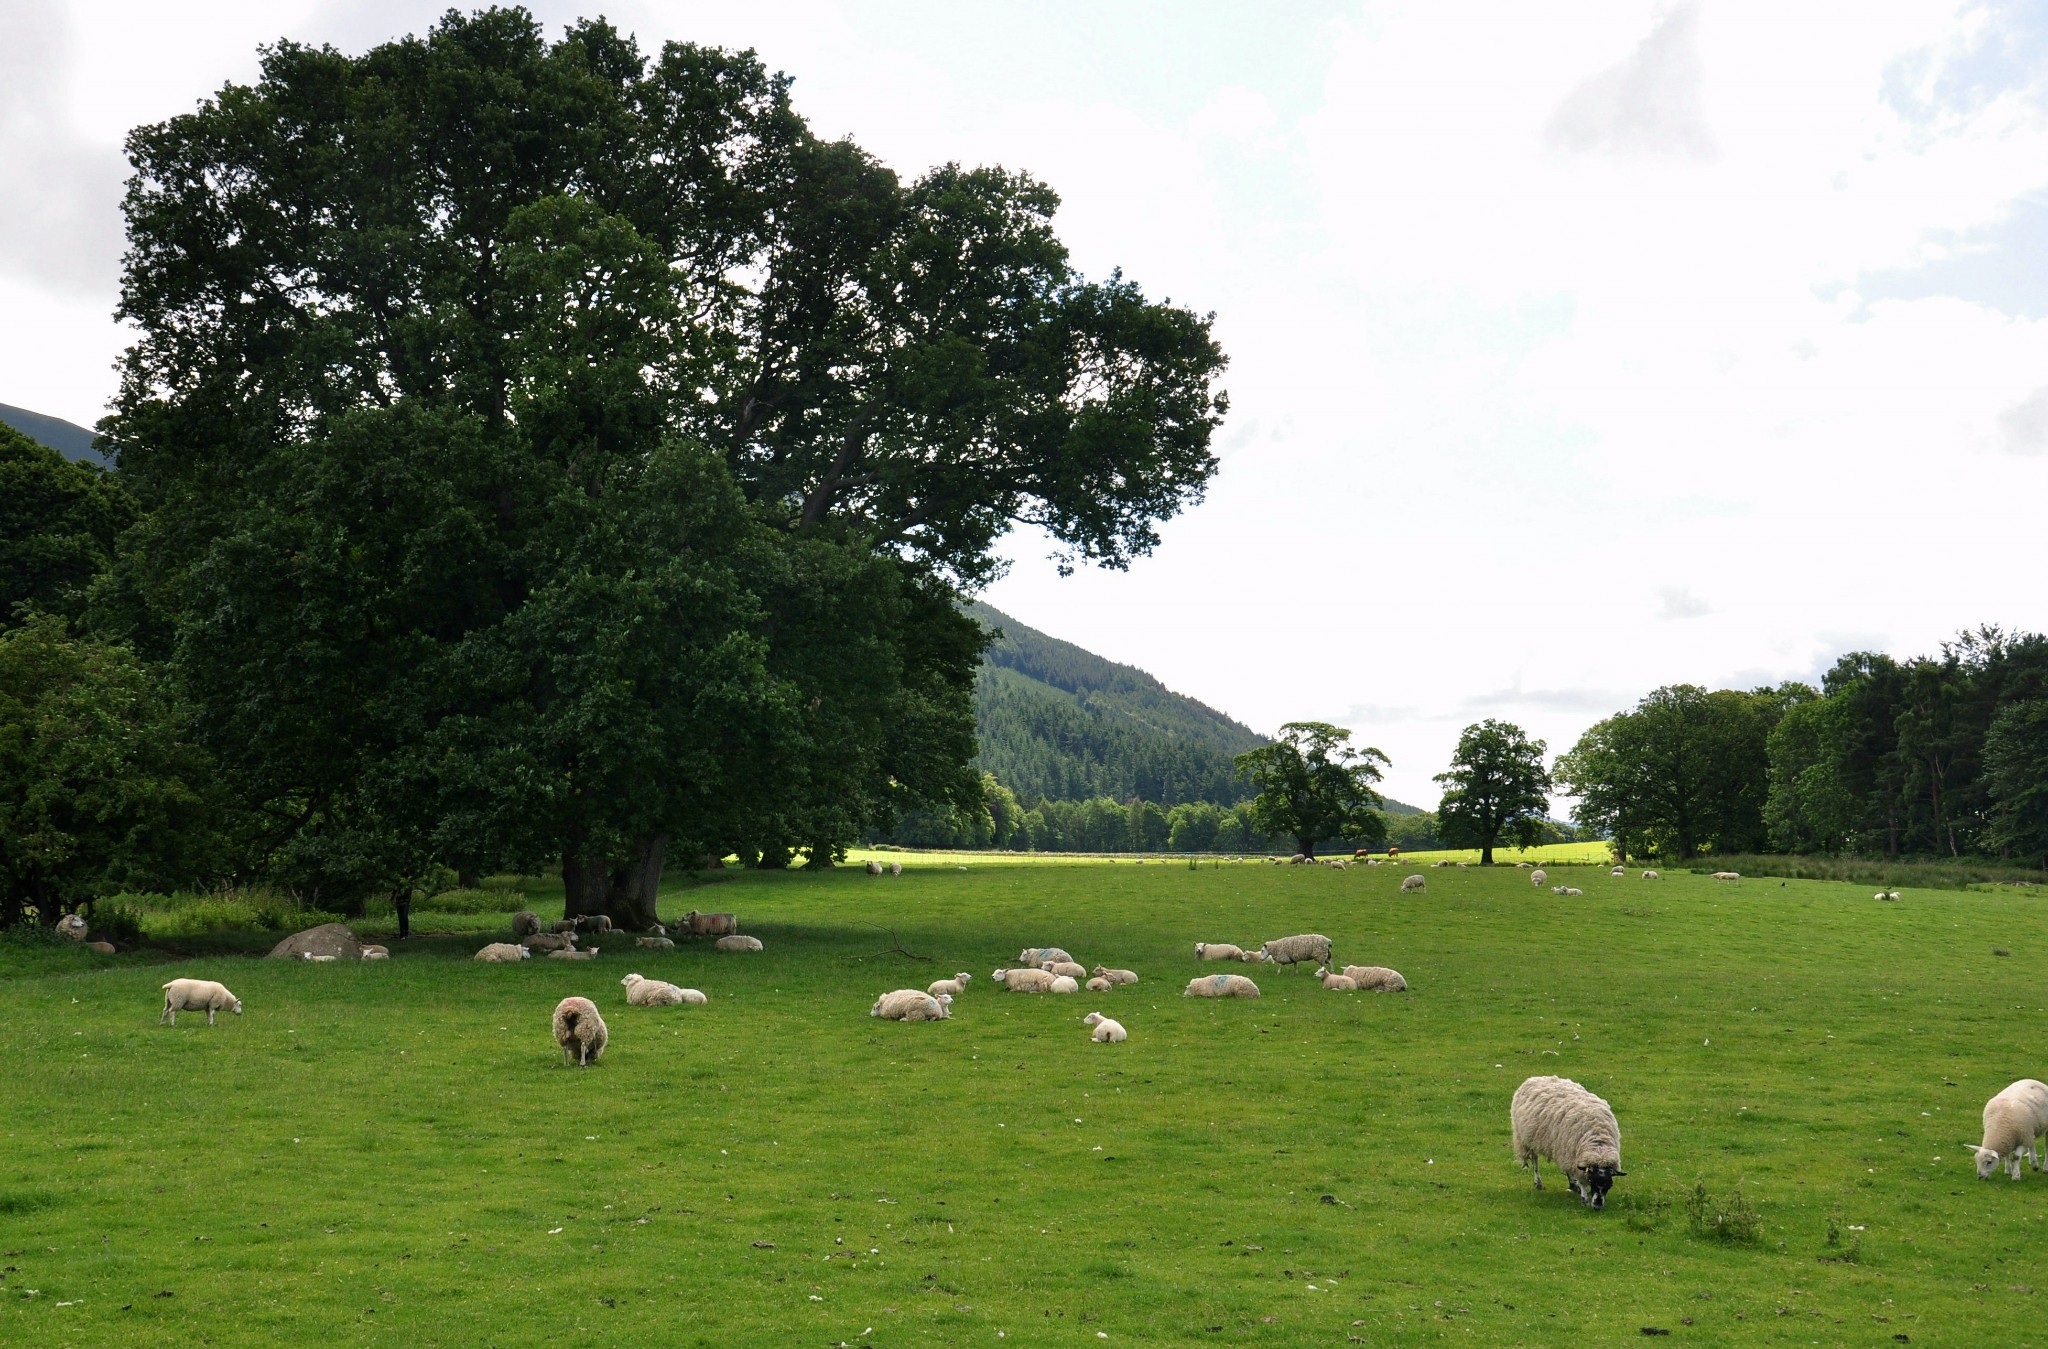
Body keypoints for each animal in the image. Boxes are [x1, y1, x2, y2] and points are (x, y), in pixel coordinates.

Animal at [1515, 1072, 1622, 1211]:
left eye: (1610, 1185)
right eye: (1592, 1181)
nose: (1597, 1206)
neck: (1598, 1145)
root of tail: (1536, 1077)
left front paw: (1579, 1189)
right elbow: (1581, 1180)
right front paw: (1584, 1198)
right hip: (1530, 1138)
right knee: (1535, 1160)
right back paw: (1538, 1183)